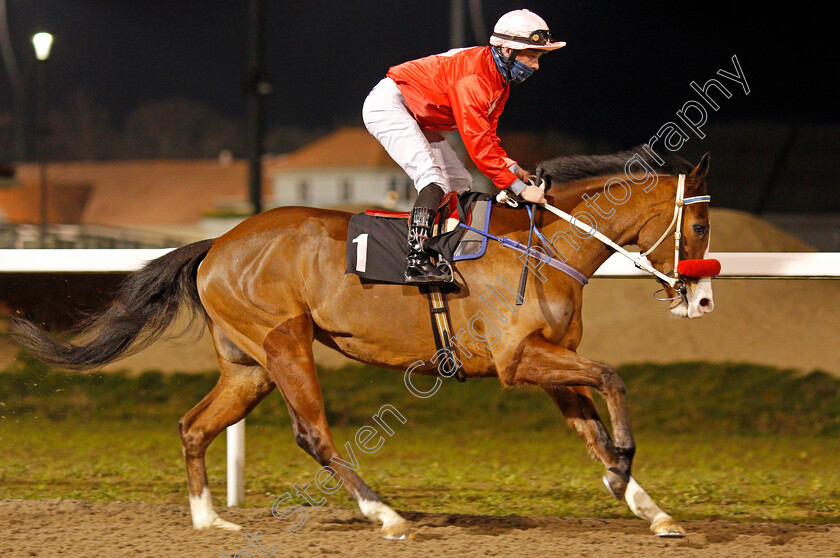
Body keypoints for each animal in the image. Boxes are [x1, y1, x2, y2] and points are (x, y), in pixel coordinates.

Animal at [11, 147, 716, 540]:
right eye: (702, 223)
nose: (703, 300)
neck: (545, 247)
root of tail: (216, 244)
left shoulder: (549, 363)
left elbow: (592, 423)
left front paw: (648, 506)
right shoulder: (519, 361)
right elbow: (613, 378)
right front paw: (624, 468)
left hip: (248, 366)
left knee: (194, 425)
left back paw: (210, 520)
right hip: (285, 342)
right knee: (312, 433)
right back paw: (386, 515)